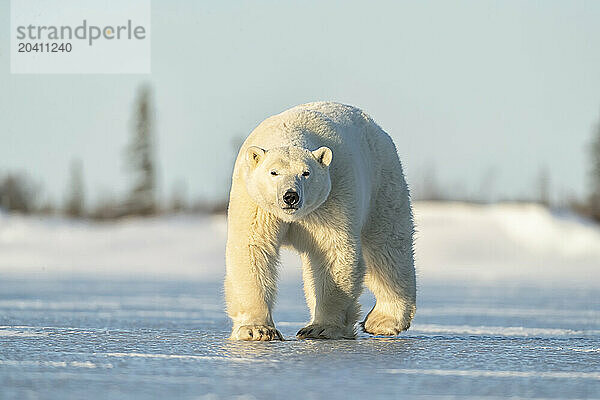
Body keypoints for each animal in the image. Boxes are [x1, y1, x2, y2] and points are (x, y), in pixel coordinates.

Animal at [223, 101, 414, 340]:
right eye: (273, 172)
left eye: (306, 173)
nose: (290, 196)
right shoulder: (255, 202)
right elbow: (253, 249)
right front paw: (257, 329)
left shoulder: (332, 197)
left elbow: (332, 252)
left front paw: (322, 328)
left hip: (382, 182)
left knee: (388, 249)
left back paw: (383, 320)